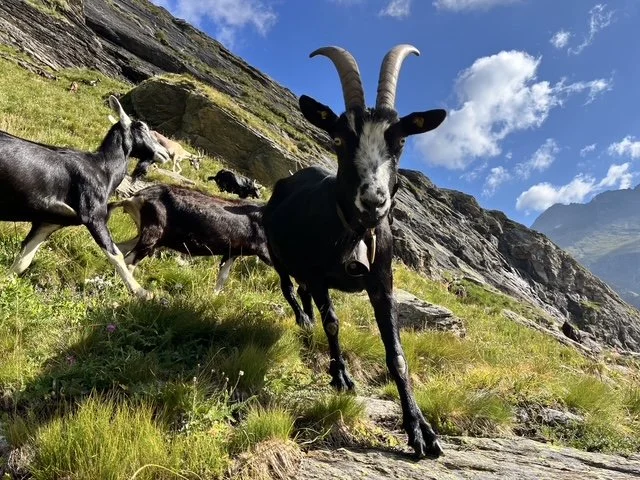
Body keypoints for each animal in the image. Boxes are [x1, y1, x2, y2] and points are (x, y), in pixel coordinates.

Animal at [0, 96, 171, 298]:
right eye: (142, 127)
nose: (166, 154)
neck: (102, 169)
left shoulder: (47, 222)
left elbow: (22, 262)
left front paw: (5, 284)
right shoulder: (94, 217)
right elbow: (116, 254)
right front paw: (141, 292)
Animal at [108, 184, 271, 292]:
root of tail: (135, 198)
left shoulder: (233, 252)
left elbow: (222, 277)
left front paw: (214, 297)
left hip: (148, 235)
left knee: (120, 249)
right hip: (152, 234)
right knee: (129, 261)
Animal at [262, 46, 446, 457]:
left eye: (400, 141)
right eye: (339, 139)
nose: (373, 201)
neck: (355, 231)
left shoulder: (383, 283)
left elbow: (397, 355)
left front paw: (421, 430)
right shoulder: (318, 275)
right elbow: (333, 323)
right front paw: (341, 377)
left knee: (300, 291)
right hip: (278, 254)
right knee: (289, 288)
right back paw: (304, 321)